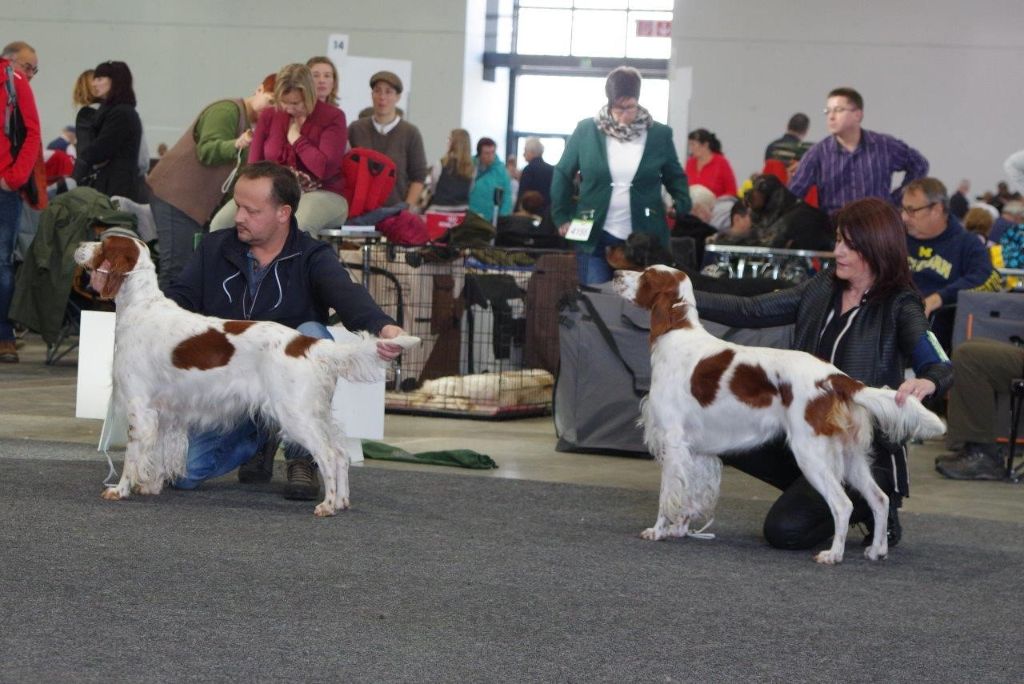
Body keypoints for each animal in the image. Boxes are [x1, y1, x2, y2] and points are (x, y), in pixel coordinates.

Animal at [74, 237, 419, 516]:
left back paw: (328, 505)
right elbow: (157, 454)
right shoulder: (165, 411)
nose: (79, 245)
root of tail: (310, 345)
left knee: (328, 454)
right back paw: (343, 501)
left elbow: (133, 456)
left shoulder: (139, 407)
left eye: (104, 243)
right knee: (341, 453)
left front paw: (120, 490)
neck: (141, 307)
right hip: (315, 412)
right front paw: (151, 486)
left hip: (295, 414)